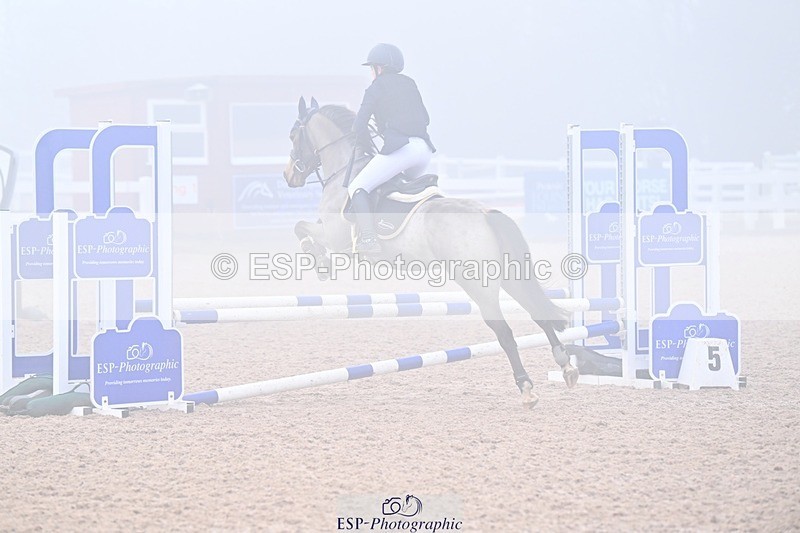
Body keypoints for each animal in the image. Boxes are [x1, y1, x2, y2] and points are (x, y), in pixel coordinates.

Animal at [282, 97, 578, 408]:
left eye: (293, 135)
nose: (288, 175)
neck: (344, 171)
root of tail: (485, 213)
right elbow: (302, 227)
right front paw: (320, 261)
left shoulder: (335, 236)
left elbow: (300, 227)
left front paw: (321, 262)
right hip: (511, 277)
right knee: (539, 314)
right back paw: (566, 366)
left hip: (479, 285)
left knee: (505, 333)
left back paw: (526, 388)